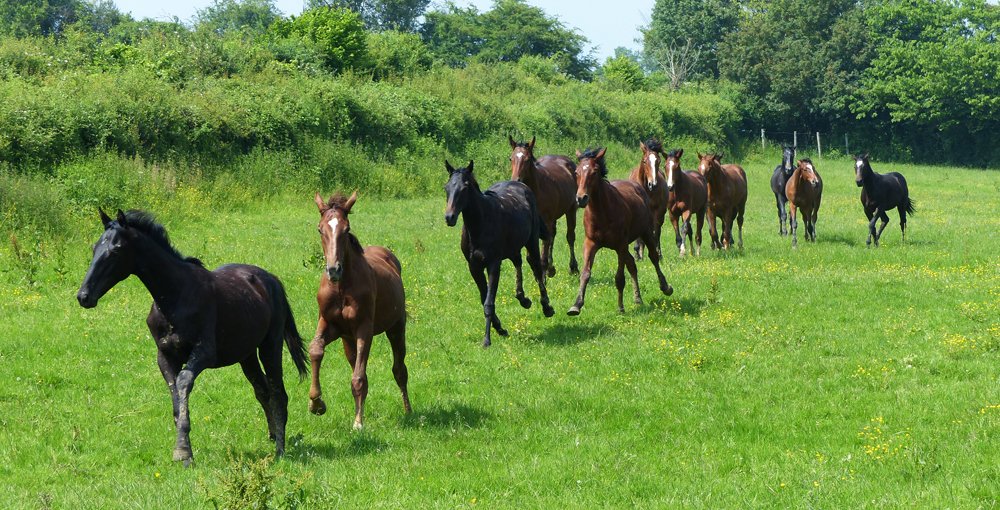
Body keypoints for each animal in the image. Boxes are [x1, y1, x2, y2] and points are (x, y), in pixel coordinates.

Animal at [76, 209, 308, 465]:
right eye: (94, 247)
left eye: (116, 249)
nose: (84, 296)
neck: (174, 297)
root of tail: (271, 280)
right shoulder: (165, 356)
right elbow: (175, 398)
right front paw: (183, 448)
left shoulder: (204, 353)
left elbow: (183, 381)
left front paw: (183, 452)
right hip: (246, 355)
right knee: (262, 389)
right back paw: (272, 434)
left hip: (270, 345)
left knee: (278, 393)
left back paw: (280, 450)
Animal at [307, 191, 411, 430]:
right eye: (320, 229)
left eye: (346, 229)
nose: (333, 270)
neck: (341, 288)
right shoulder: (328, 324)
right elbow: (315, 350)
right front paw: (316, 404)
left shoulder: (364, 329)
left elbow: (358, 378)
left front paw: (358, 424)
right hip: (348, 339)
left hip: (396, 327)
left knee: (399, 370)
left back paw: (409, 411)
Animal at [444, 159, 554, 348]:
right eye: (446, 188)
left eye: (465, 187)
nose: (449, 217)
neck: (480, 224)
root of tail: (522, 185)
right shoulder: (474, 267)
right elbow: (484, 298)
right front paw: (500, 328)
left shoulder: (493, 264)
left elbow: (489, 302)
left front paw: (487, 340)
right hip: (512, 247)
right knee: (518, 262)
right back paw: (523, 298)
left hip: (531, 242)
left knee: (536, 267)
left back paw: (546, 307)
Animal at [508, 136, 579, 277]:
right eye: (511, 158)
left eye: (527, 159)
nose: (515, 180)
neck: (537, 191)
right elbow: (532, 256)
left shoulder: (547, 221)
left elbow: (543, 254)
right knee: (552, 236)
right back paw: (551, 268)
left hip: (571, 210)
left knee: (570, 237)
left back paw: (573, 268)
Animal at [568, 148, 673, 316]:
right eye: (576, 172)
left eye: (594, 171)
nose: (581, 198)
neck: (602, 212)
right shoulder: (590, 243)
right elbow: (585, 274)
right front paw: (576, 305)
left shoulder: (620, 246)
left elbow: (619, 278)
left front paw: (620, 307)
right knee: (632, 264)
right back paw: (638, 298)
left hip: (645, 233)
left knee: (653, 257)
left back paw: (665, 287)